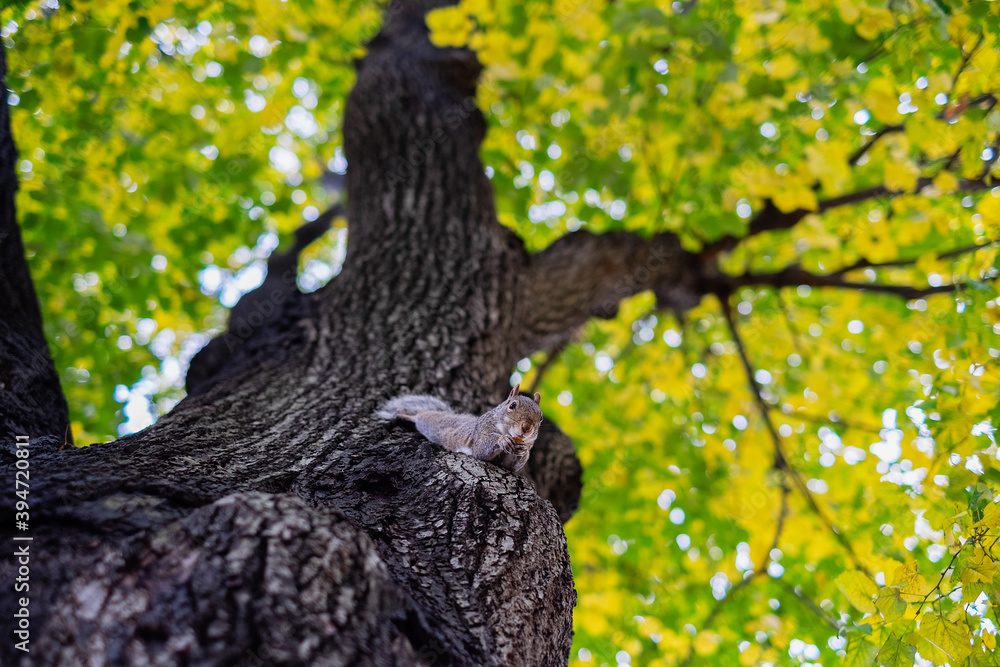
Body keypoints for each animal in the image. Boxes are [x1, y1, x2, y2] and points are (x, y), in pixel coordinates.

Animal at [377, 384, 543, 472]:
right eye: (512, 405)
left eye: (540, 418)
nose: (526, 428)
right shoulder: (481, 431)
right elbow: (480, 449)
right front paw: (503, 440)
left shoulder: (507, 463)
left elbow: (510, 466)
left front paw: (523, 451)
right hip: (429, 422)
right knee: (419, 416)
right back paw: (403, 415)